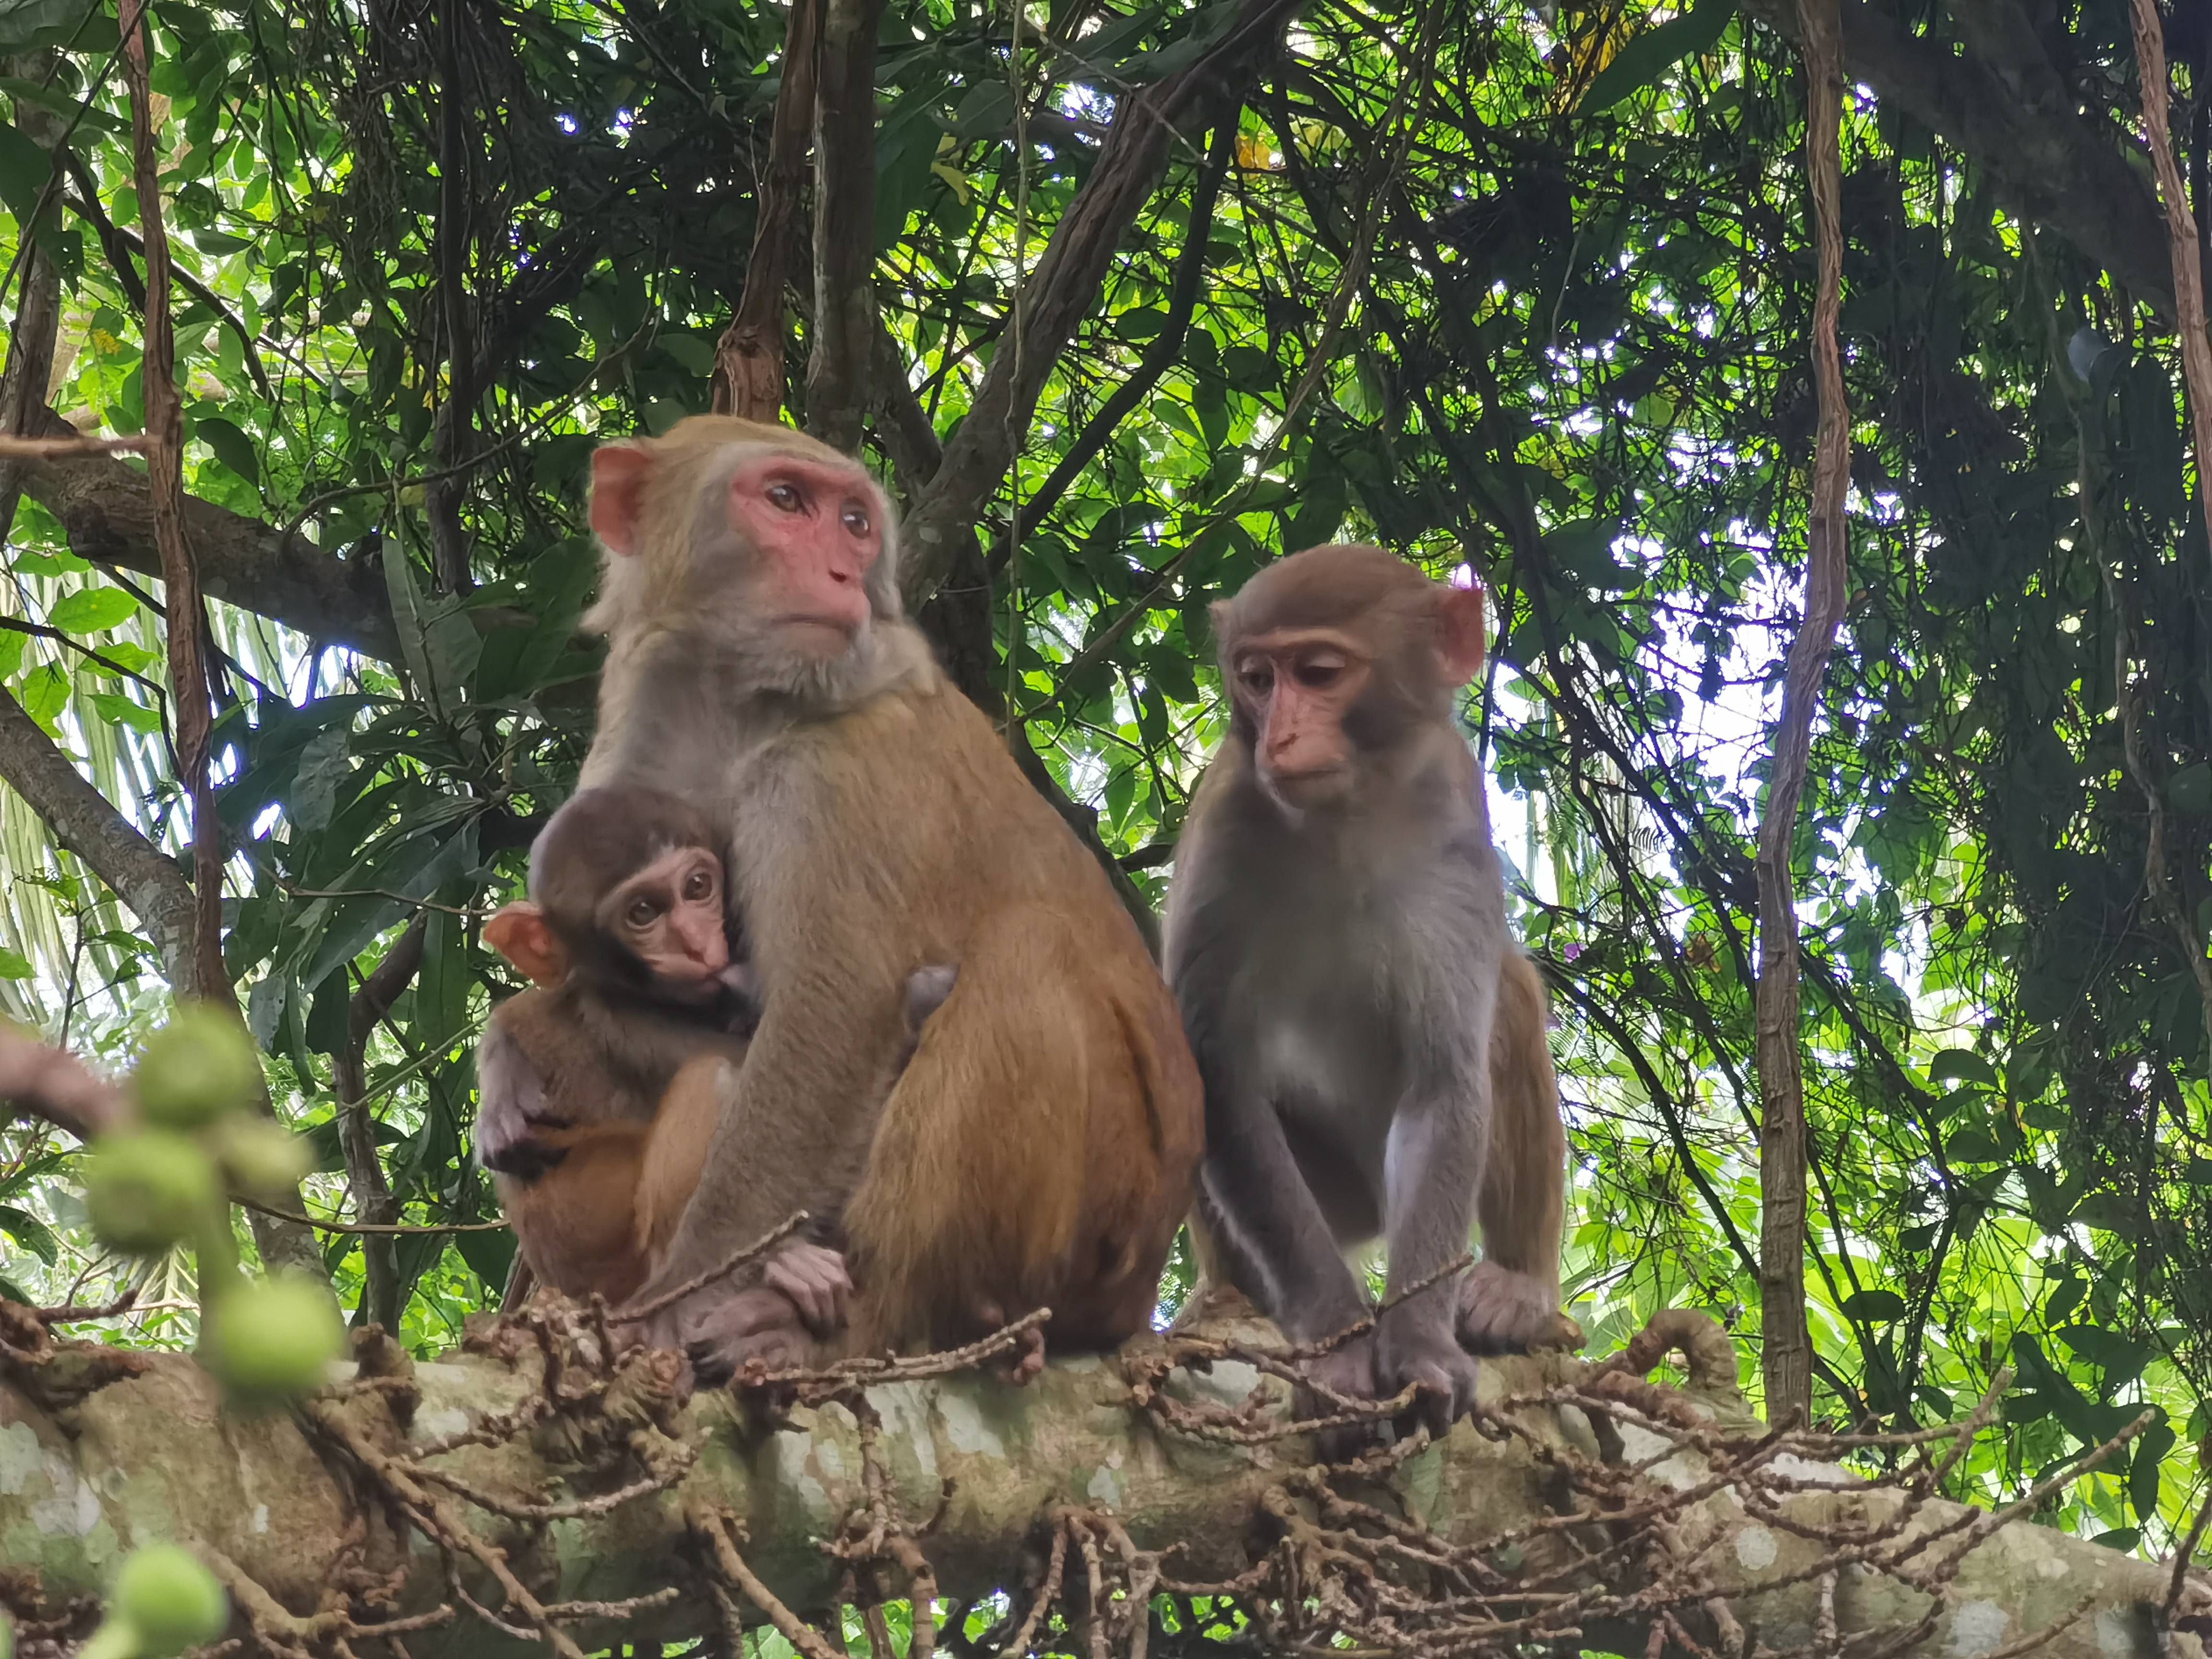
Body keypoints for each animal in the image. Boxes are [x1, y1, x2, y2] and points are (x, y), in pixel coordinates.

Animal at [480, 792, 947, 1362]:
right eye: (643, 913)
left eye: (698, 886)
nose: (700, 946)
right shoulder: (634, 1022)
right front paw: (921, 1000)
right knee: (718, 1077)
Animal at [570, 413, 1203, 1380]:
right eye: (785, 501)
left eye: (854, 524)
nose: (841, 576)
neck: (737, 709)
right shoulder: (636, 757)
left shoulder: (828, 777)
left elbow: (831, 1012)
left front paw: (675, 1298)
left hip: (1116, 1211)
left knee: (1028, 950)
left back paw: (884, 1319)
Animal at [1159, 548, 1575, 1442]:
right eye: (1256, 679)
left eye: (1318, 673)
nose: (1280, 734)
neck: (1345, 814)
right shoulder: (1225, 825)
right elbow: (1217, 1069)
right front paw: (1340, 1346)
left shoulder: (1455, 826)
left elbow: (1445, 1079)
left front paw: (1418, 1344)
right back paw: (1233, 1299)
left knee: (1510, 999)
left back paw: (1516, 1286)